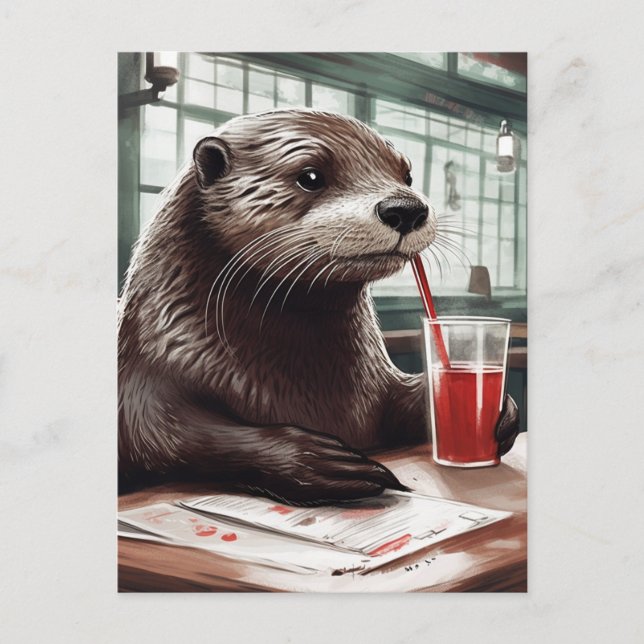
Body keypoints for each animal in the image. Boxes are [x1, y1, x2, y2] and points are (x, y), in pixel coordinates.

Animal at [118, 108, 519, 504]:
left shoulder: (376, 385)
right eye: (310, 176)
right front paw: (324, 463)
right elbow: (168, 434)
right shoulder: (147, 377)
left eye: (407, 174)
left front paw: (499, 414)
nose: (406, 208)